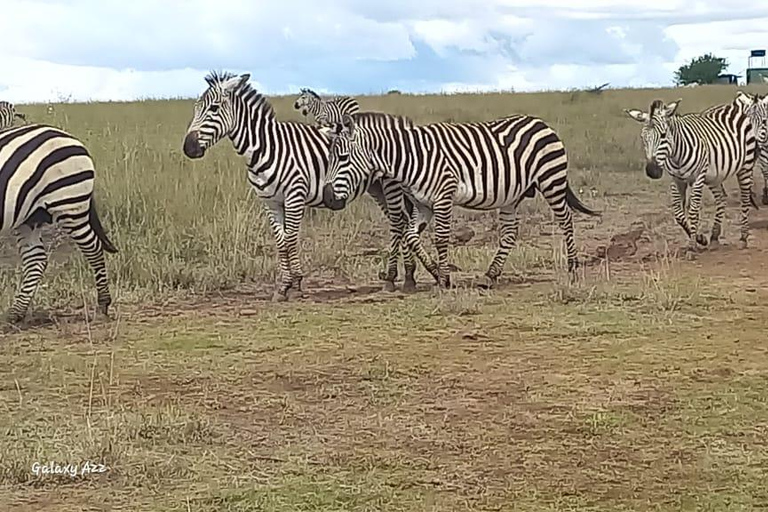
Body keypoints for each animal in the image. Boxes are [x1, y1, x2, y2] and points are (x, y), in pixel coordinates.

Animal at [0, 123, 118, 322]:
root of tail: (69, 136)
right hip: (29, 217)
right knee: (36, 259)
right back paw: (16, 313)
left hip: (69, 204)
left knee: (93, 247)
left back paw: (103, 303)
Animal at [182, 71, 432, 300]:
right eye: (196, 107)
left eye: (214, 108)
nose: (188, 148)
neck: (267, 148)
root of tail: (401, 120)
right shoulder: (270, 202)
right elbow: (280, 241)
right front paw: (284, 286)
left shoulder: (294, 196)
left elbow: (290, 239)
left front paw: (295, 284)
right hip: (377, 187)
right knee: (402, 221)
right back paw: (407, 277)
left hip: (391, 185)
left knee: (398, 223)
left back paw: (394, 278)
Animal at [318, 111, 600, 288]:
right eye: (329, 159)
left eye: (342, 158)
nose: (329, 199)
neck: (410, 158)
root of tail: (541, 123)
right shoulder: (423, 204)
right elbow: (411, 236)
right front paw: (435, 273)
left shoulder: (444, 195)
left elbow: (441, 238)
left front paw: (443, 279)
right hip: (511, 196)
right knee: (510, 233)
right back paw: (490, 276)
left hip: (552, 180)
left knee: (566, 220)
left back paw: (573, 269)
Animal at [628, 98, 760, 252]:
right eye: (643, 138)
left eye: (663, 135)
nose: (652, 171)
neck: (676, 155)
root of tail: (729, 107)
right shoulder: (677, 180)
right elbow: (679, 214)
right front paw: (700, 238)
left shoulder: (698, 178)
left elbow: (693, 211)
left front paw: (692, 246)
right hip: (714, 176)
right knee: (721, 198)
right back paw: (714, 237)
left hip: (745, 166)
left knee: (744, 199)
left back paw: (743, 238)